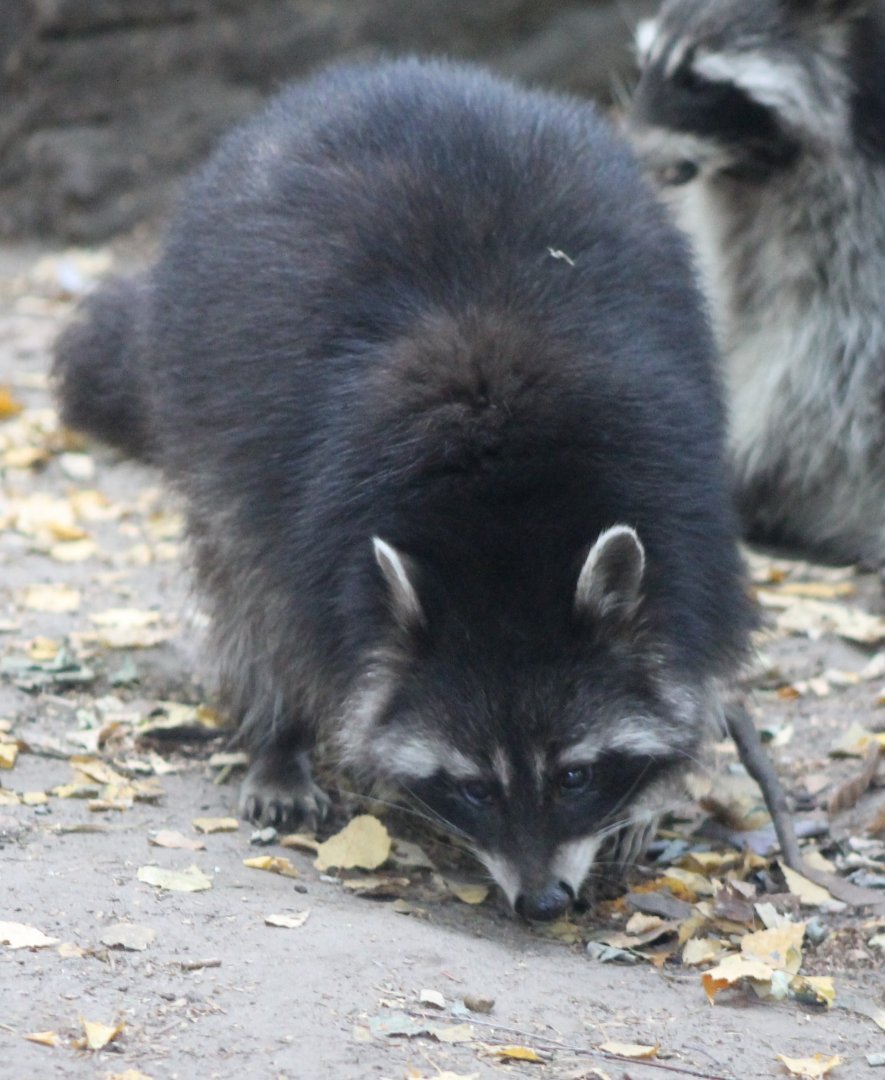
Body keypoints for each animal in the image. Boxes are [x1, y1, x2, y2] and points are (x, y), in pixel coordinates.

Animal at [54, 58, 750, 921]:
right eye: (474, 787)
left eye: (577, 775)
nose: (542, 903)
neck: (507, 519)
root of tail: (382, 75)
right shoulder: (309, 496)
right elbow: (288, 609)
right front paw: (285, 730)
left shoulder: (681, 490)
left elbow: (689, 641)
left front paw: (654, 789)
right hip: (203, 388)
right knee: (242, 582)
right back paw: (276, 732)